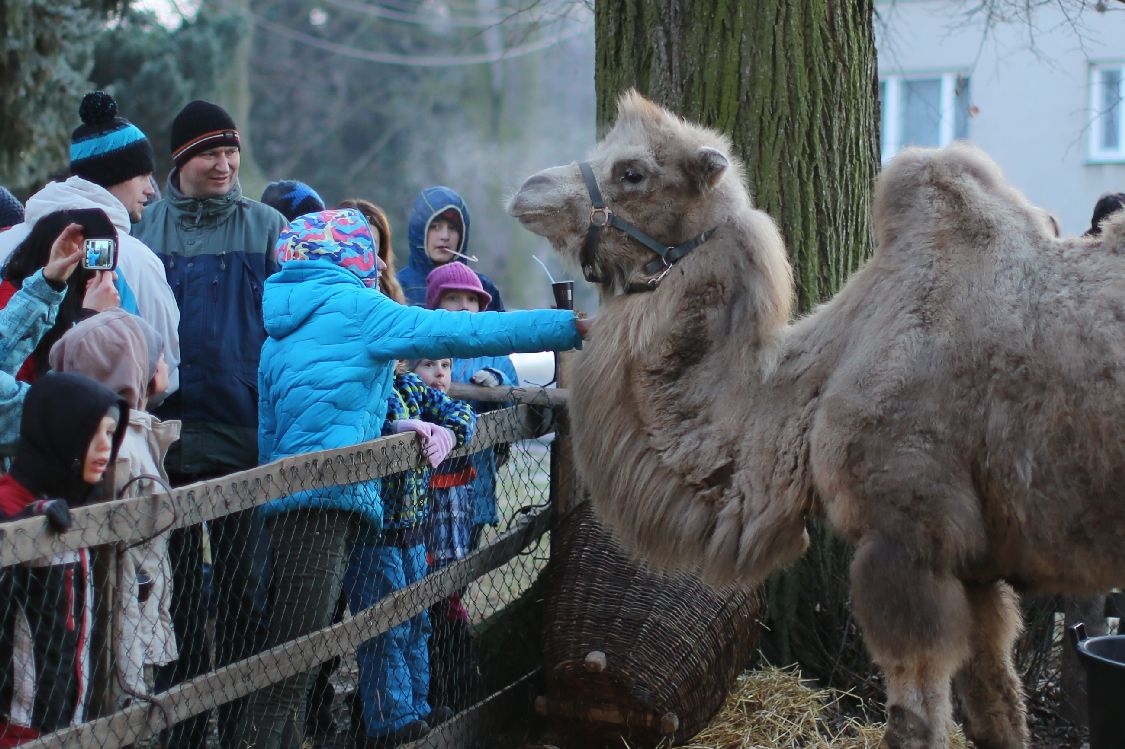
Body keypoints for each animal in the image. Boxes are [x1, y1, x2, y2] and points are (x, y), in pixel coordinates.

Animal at [508, 88, 1125, 746]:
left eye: (633, 172)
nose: (528, 190)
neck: (811, 387)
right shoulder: (976, 567)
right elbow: (997, 709)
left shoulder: (908, 540)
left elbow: (917, 717)